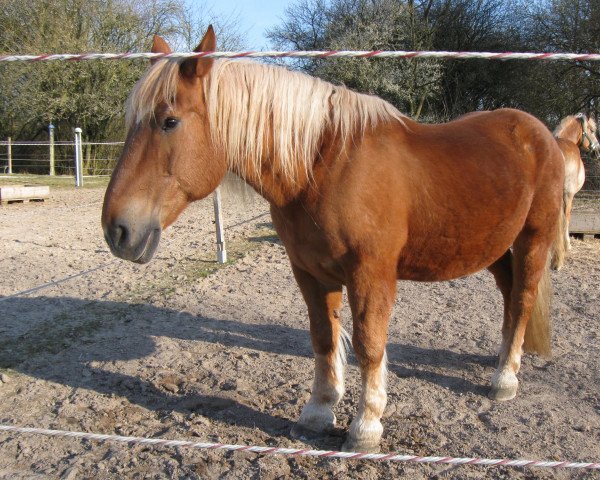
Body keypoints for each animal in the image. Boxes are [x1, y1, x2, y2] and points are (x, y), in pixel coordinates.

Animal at [102, 28, 568, 452]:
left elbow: (368, 344)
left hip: (533, 239)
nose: (117, 230)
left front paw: (366, 427)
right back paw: (501, 360)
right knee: (510, 295)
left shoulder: (371, 276)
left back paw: (505, 378)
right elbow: (324, 338)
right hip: (492, 246)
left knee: (523, 298)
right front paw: (317, 413)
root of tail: (540, 133)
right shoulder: (311, 272)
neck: (322, 166)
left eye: (170, 121)